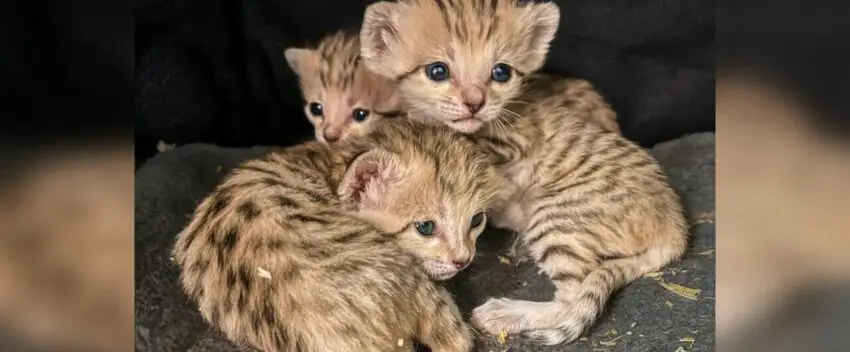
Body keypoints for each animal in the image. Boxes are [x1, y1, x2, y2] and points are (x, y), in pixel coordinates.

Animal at [362, 0, 684, 346]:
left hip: (555, 217)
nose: (475, 103)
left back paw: (506, 313)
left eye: (500, 72)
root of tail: (675, 225)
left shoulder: (504, 147)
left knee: (572, 298)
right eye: (438, 71)